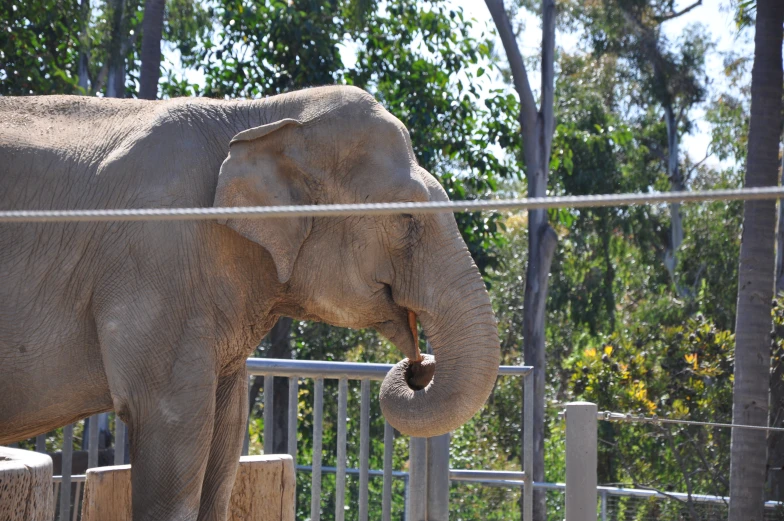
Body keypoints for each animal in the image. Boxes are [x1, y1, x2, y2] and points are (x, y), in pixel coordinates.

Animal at [0, 86, 500, 520]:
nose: (418, 367)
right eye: (405, 218)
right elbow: (172, 422)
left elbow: (227, 430)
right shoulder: (154, 257)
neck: (258, 115)